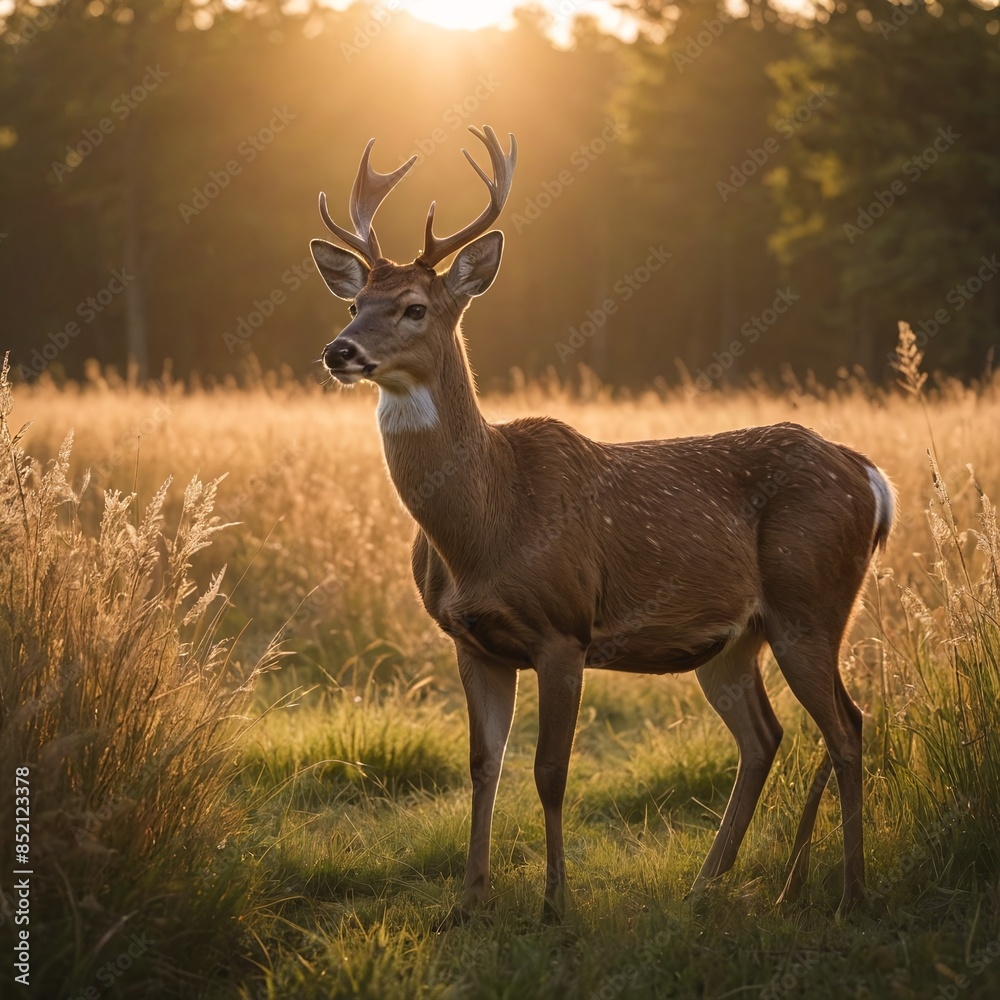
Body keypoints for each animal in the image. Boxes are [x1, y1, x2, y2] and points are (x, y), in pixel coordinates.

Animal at [309, 125, 895, 919]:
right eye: (353, 304)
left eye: (413, 308)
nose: (340, 350)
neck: (484, 527)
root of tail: (869, 477)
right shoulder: (472, 641)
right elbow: (482, 766)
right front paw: (468, 902)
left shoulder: (564, 627)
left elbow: (550, 770)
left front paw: (556, 903)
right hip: (735, 638)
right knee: (766, 736)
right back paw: (718, 885)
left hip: (811, 602)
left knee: (848, 726)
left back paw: (844, 893)